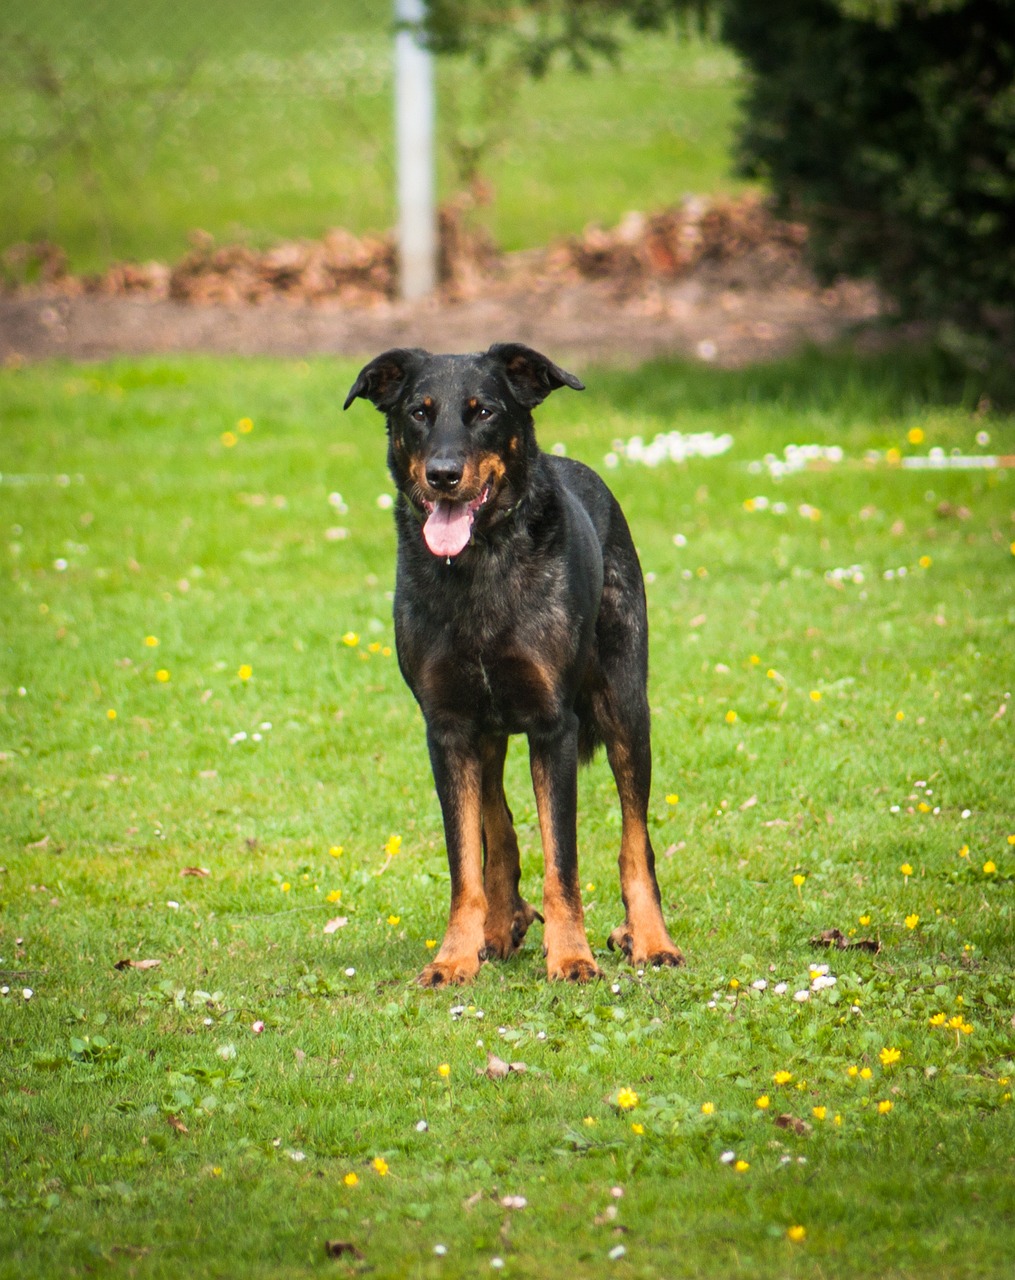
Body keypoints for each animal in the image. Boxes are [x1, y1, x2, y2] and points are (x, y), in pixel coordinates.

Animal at [343, 345, 680, 983]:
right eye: (419, 412)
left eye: (484, 412)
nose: (443, 474)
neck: (479, 564)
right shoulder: (448, 730)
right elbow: (465, 863)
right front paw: (454, 957)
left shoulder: (553, 727)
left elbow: (563, 861)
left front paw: (571, 956)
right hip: (489, 734)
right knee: (496, 829)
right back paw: (501, 926)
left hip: (625, 707)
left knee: (636, 839)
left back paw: (649, 938)